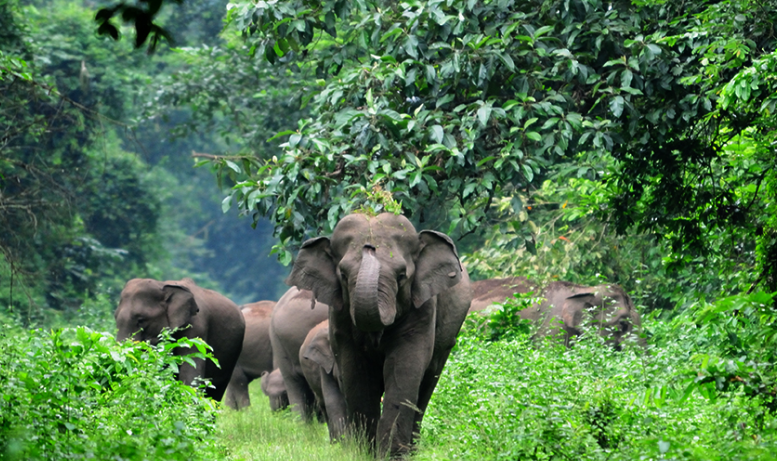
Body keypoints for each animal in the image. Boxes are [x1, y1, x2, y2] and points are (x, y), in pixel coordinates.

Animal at [284, 213, 466, 456]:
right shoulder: (339, 315)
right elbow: (356, 372)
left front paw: (392, 455)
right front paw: (366, 452)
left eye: (401, 275)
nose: (369, 246)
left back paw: (412, 450)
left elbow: (403, 369)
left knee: (426, 384)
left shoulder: (424, 309)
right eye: (343, 274)